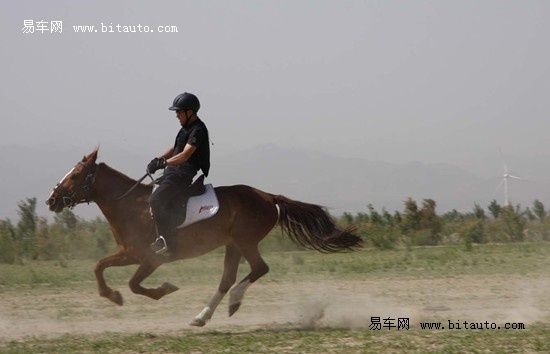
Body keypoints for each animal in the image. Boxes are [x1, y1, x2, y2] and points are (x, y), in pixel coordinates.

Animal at [45, 147, 364, 326]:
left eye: (75, 176)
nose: (51, 200)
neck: (131, 206)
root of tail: (268, 196)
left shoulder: (151, 258)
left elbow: (134, 284)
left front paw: (163, 290)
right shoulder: (129, 254)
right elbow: (98, 266)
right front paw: (111, 296)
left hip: (245, 241)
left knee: (258, 269)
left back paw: (233, 303)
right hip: (233, 245)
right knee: (227, 279)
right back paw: (201, 317)